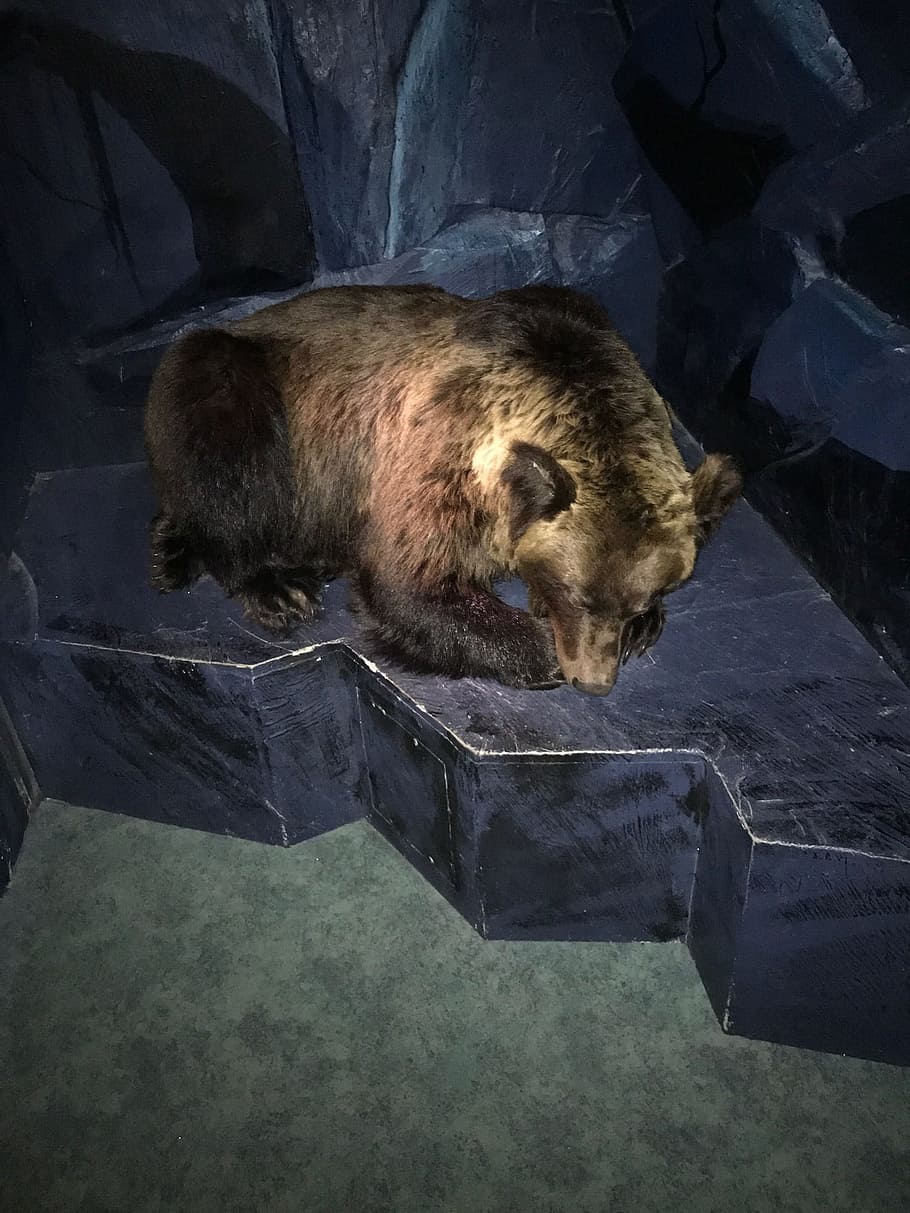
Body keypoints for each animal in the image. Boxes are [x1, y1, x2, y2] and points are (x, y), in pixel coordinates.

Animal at [144, 283, 741, 695]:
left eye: (648, 595)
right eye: (575, 592)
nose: (593, 682)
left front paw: (639, 631)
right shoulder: (435, 452)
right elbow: (410, 585)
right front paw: (541, 651)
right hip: (233, 381)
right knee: (227, 461)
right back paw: (278, 585)